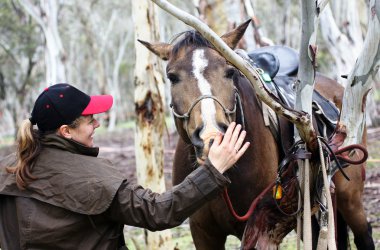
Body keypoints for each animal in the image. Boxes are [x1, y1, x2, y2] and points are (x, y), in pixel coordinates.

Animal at [139, 21, 374, 250]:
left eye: (230, 72)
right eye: (172, 77)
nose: (212, 138)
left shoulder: (258, 227)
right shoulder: (203, 232)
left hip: (349, 197)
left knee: (364, 234)